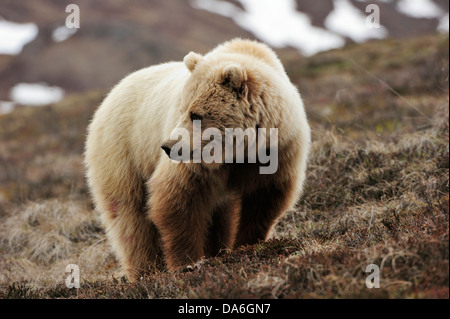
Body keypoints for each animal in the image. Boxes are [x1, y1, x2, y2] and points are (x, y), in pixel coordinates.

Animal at [83, 38, 310, 282]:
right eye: (182, 108)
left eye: (196, 114)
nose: (168, 146)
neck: (239, 150)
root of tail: (111, 93)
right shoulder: (197, 161)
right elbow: (180, 198)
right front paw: (187, 263)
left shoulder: (275, 153)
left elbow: (263, 200)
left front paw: (247, 245)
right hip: (123, 153)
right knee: (130, 217)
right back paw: (145, 270)